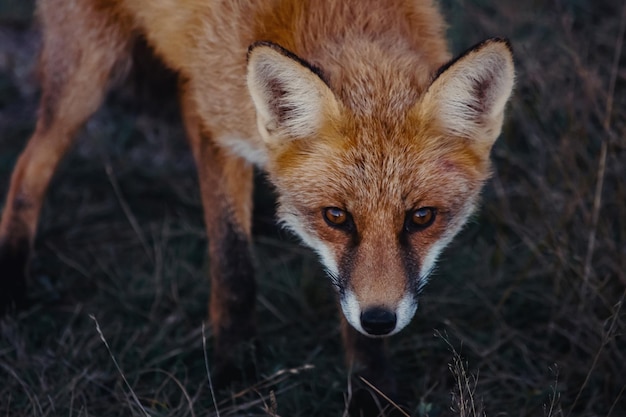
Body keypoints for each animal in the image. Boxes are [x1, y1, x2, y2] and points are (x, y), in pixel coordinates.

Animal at [0, 0, 512, 410]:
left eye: (421, 217)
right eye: (336, 217)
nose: (380, 320)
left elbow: (344, 300)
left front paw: (370, 386)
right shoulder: (209, 115)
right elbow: (233, 265)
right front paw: (232, 366)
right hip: (88, 71)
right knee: (28, 168)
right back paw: (13, 279)